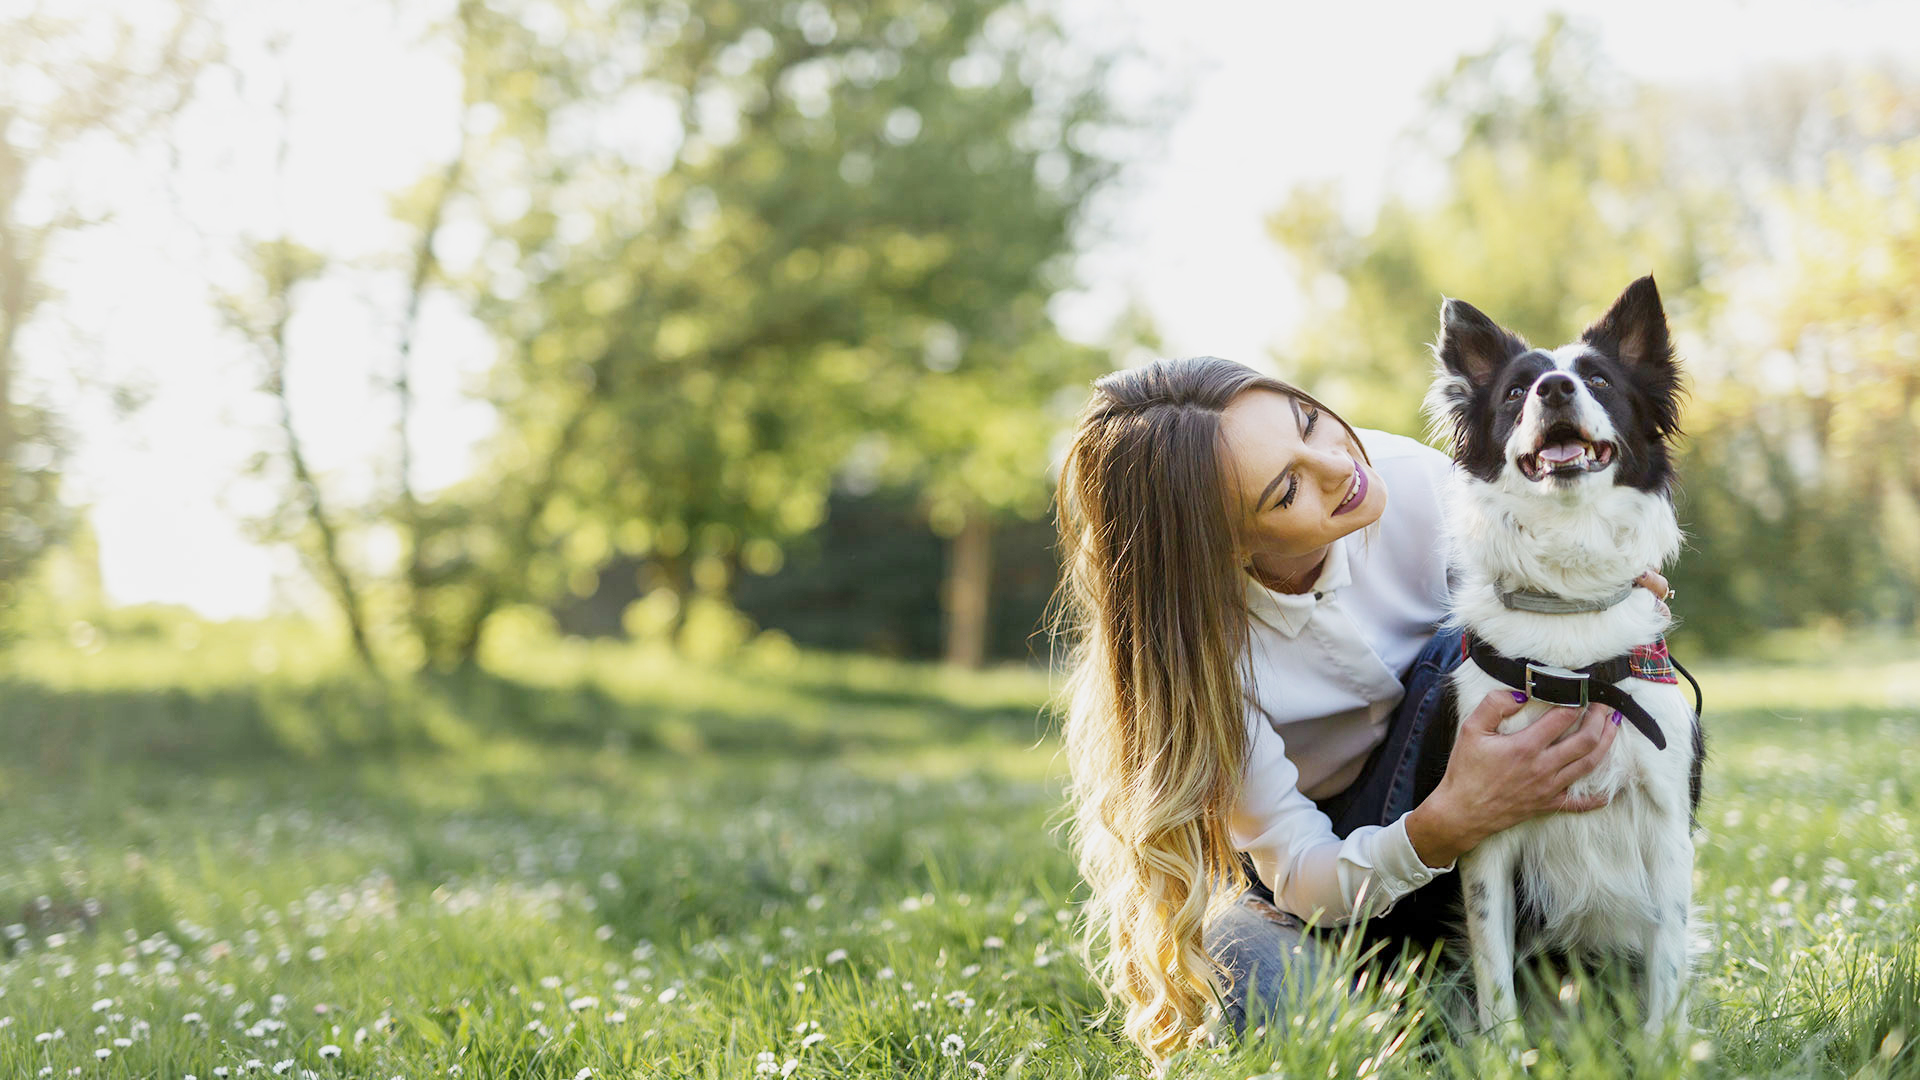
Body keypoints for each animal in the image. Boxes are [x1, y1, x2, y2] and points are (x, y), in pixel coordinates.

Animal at [1428, 272, 1712, 1030]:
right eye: (1515, 393)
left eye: (1600, 380)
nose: (1555, 388)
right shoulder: (1486, 832)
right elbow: (1494, 972)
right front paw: (1505, 1050)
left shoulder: (1666, 825)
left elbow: (1668, 964)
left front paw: (1663, 1048)